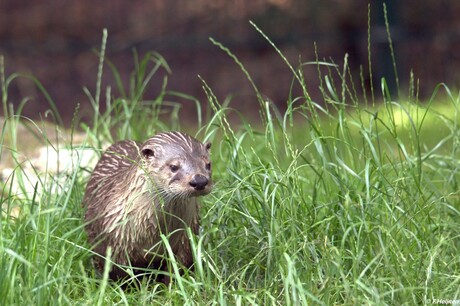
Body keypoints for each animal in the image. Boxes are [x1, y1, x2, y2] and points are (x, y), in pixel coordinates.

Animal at [82, 131, 212, 282]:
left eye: (208, 164)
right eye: (174, 166)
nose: (200, 180)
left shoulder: (185, 242)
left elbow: (178, 268)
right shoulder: (114, 243)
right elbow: (120, 274)